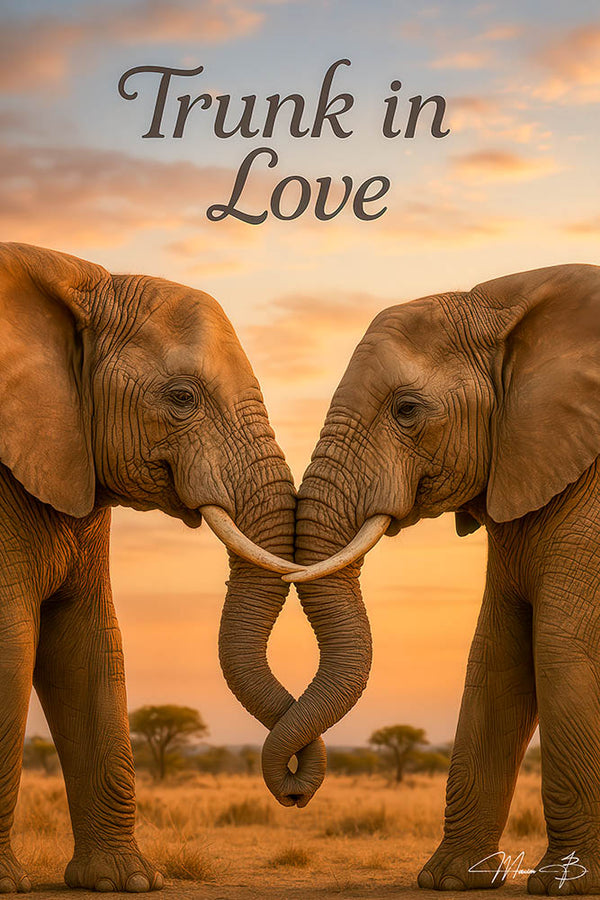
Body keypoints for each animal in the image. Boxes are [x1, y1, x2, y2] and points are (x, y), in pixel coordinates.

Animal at [273, 264, 600, 895]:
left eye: (407, 410)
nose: (297, 792)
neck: (512, 301)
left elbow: (559, 649)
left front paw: (568, 883)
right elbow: (496, 656)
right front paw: (452, 879)